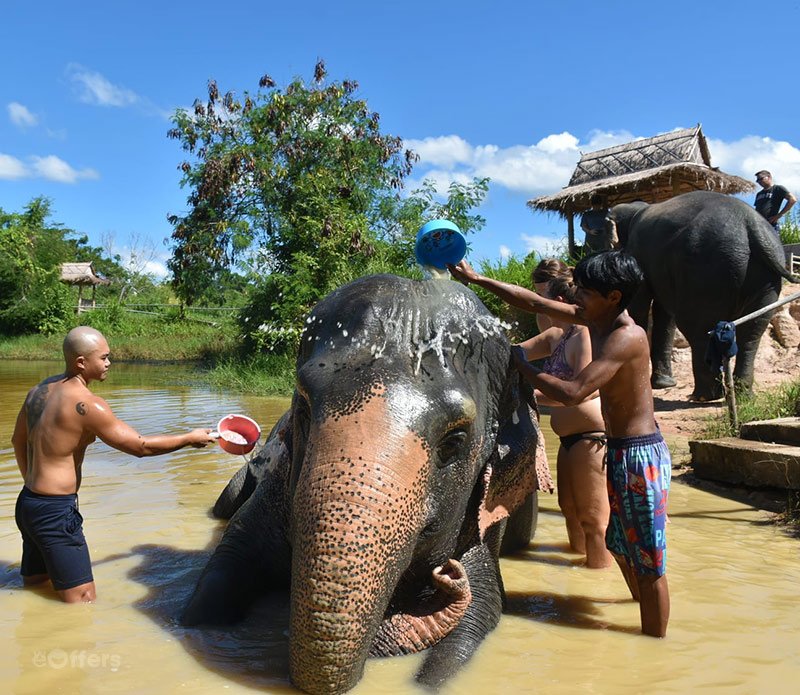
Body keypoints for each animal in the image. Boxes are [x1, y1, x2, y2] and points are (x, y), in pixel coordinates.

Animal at [181, 274, 552, 692]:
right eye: (303, 409)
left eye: (455, 440)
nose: (447, 575)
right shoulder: (274, 490)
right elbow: (221, 572)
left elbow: (481, 611)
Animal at [608, 190, 800, 400]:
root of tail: (750, 224)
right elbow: (664, 315)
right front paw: (664, 384)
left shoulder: (637, 254)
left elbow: (641, 307)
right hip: (762, 276)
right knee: (753, 329)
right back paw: (742, 395)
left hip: (705, 270)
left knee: (697, 326)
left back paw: (704, 396)